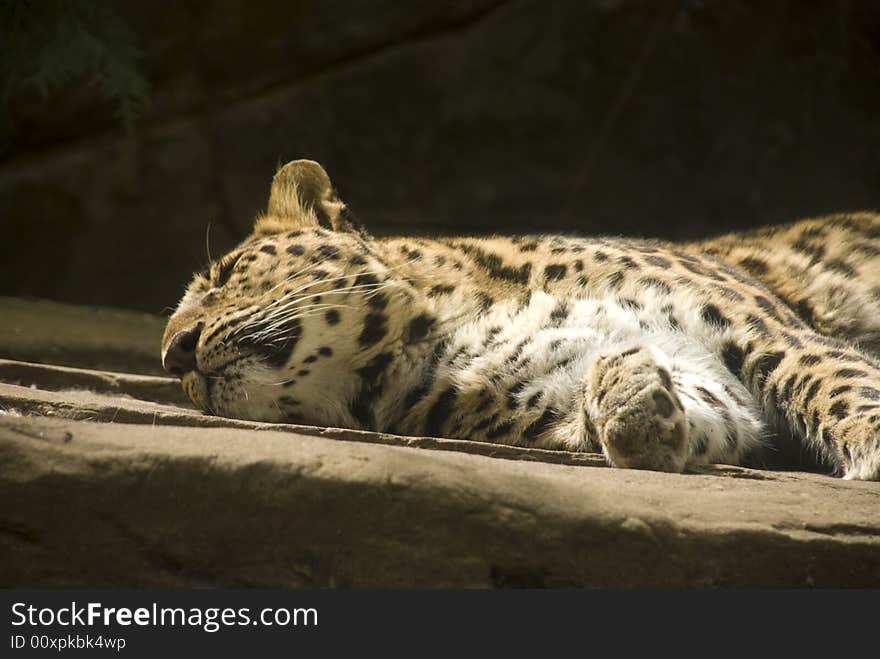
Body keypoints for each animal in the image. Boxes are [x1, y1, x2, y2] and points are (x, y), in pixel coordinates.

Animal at [160, 159, 880, 480]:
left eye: (225, 274)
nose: (175, 354)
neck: (459, 324)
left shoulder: (761, 333)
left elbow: (837, 384)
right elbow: (694, 415)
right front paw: (631, 397)